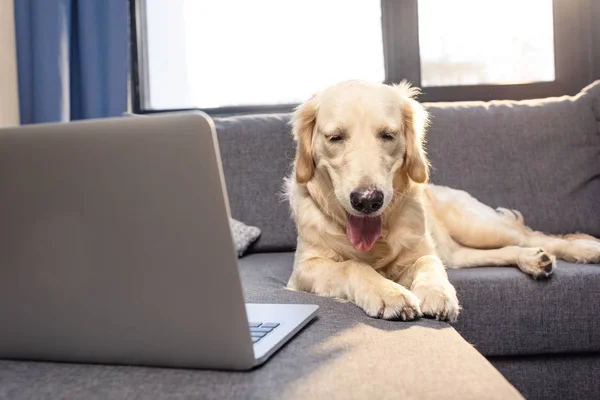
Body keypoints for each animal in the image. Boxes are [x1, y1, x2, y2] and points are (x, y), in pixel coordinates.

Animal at [284, 80, 600, 322]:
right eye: (335, 137)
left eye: (388, 135)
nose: (367, 200)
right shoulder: (303, 271)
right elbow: (352, 266)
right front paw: (389, 292)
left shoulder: (422, 251)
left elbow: (428, 263)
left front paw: (437, 293)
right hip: (459, 250)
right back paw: (533, 259)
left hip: (475, 225)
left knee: (531, 235)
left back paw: (584, 249)